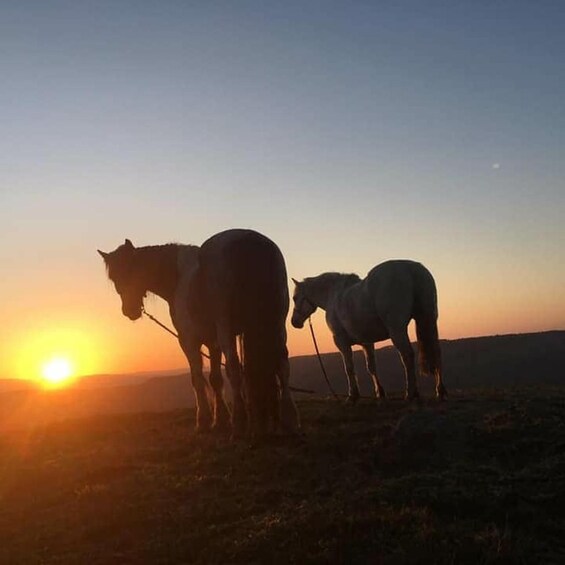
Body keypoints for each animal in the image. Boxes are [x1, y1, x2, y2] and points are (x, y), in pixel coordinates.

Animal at [97, 227, 300, 434]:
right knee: (282, 365)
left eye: (131, 270)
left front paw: (203, 420)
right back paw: (288, 419)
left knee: (234, 367)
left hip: (226, 327)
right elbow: (215, 379)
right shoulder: (213, 343)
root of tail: (249, 241)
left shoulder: (188, 341)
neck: (178, 276)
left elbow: (197, 379)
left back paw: (240, 420)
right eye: (114, 278)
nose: (129, 311)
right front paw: (220, 420)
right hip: (277, 324)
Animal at [290, 260, 446, 400]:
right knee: (437, 352)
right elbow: (371, 367)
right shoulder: (366, 342)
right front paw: (380, 392)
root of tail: (412, 269)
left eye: (295, 297)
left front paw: (353, 395)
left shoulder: (341, 341)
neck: (333, 296)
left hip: (397, 330)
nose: (294, 322)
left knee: (407, 355)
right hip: (430, 321)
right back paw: (440, 390)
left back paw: (411, 393)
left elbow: (349, 368)